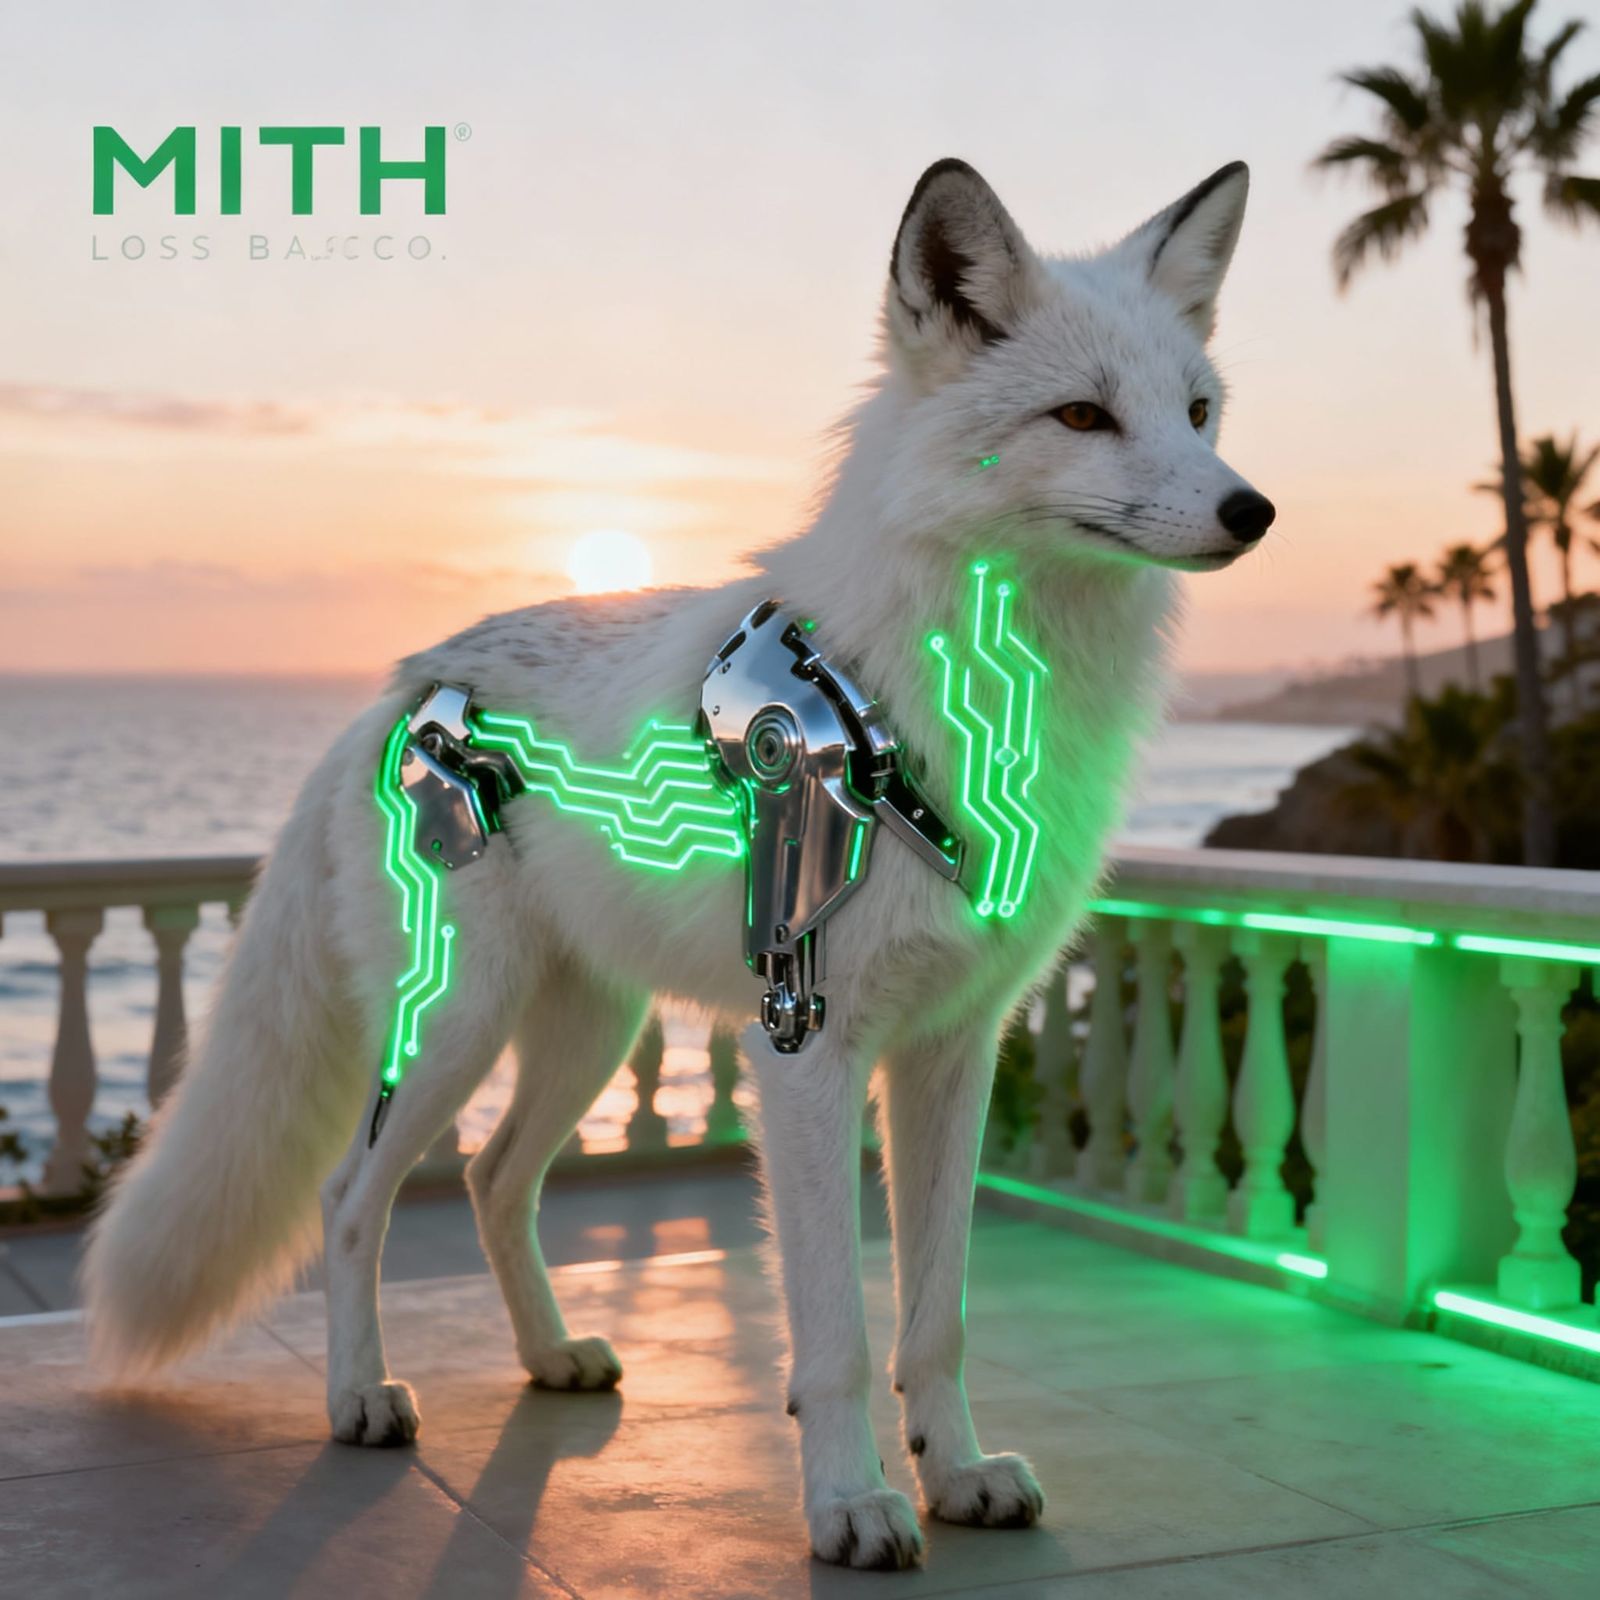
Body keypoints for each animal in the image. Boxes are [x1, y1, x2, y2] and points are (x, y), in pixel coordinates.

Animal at [83, 157, 1273, 1571]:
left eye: (1196, 411)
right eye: (1083, 415)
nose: (1252, 509)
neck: (975, 699)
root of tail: (397, 688)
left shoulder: (952, 1049)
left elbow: (934, 1317)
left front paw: (959, 1475)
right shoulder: (805, 1039)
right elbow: (837, 1332)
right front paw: (851, 1506)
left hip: (585, 1036)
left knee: (491, 1181)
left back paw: (550, 1357)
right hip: (453, 1033)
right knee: (347, 1196)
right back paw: (360, 1397)